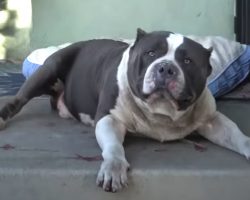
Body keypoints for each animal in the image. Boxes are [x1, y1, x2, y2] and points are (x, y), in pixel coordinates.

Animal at [0, 29, 250, 192]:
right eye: (150, 53)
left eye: (188, 61)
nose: (166, 67)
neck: (161, 113)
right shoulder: (109, 119)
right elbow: (113, 146)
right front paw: (113, 167)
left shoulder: (211, 120)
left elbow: (236, 134)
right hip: (50, 69)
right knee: (19, 99)